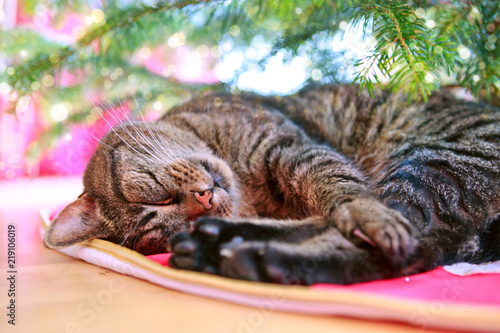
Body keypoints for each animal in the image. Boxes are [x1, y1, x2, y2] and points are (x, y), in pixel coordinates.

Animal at [44, 84, 500, 284]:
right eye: (165, 217)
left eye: (154, 193)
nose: (204, 200)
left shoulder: (292, 150)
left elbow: (342, 190)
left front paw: (361, 209)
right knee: (408, 245)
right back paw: (231, 251)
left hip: (432, 162)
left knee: (399, 232)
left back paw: (237, 251)